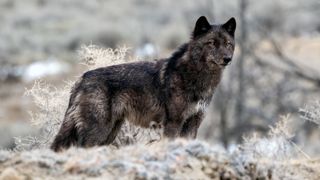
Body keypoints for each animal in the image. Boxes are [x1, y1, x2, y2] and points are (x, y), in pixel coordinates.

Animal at [50, 16, 235, 151]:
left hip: (110, 133)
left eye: (228, 44)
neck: (196, 76)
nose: (228, 59)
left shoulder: (193, 124)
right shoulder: (173, 124)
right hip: (98, 131)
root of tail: (82, 77)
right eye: (211, 43)